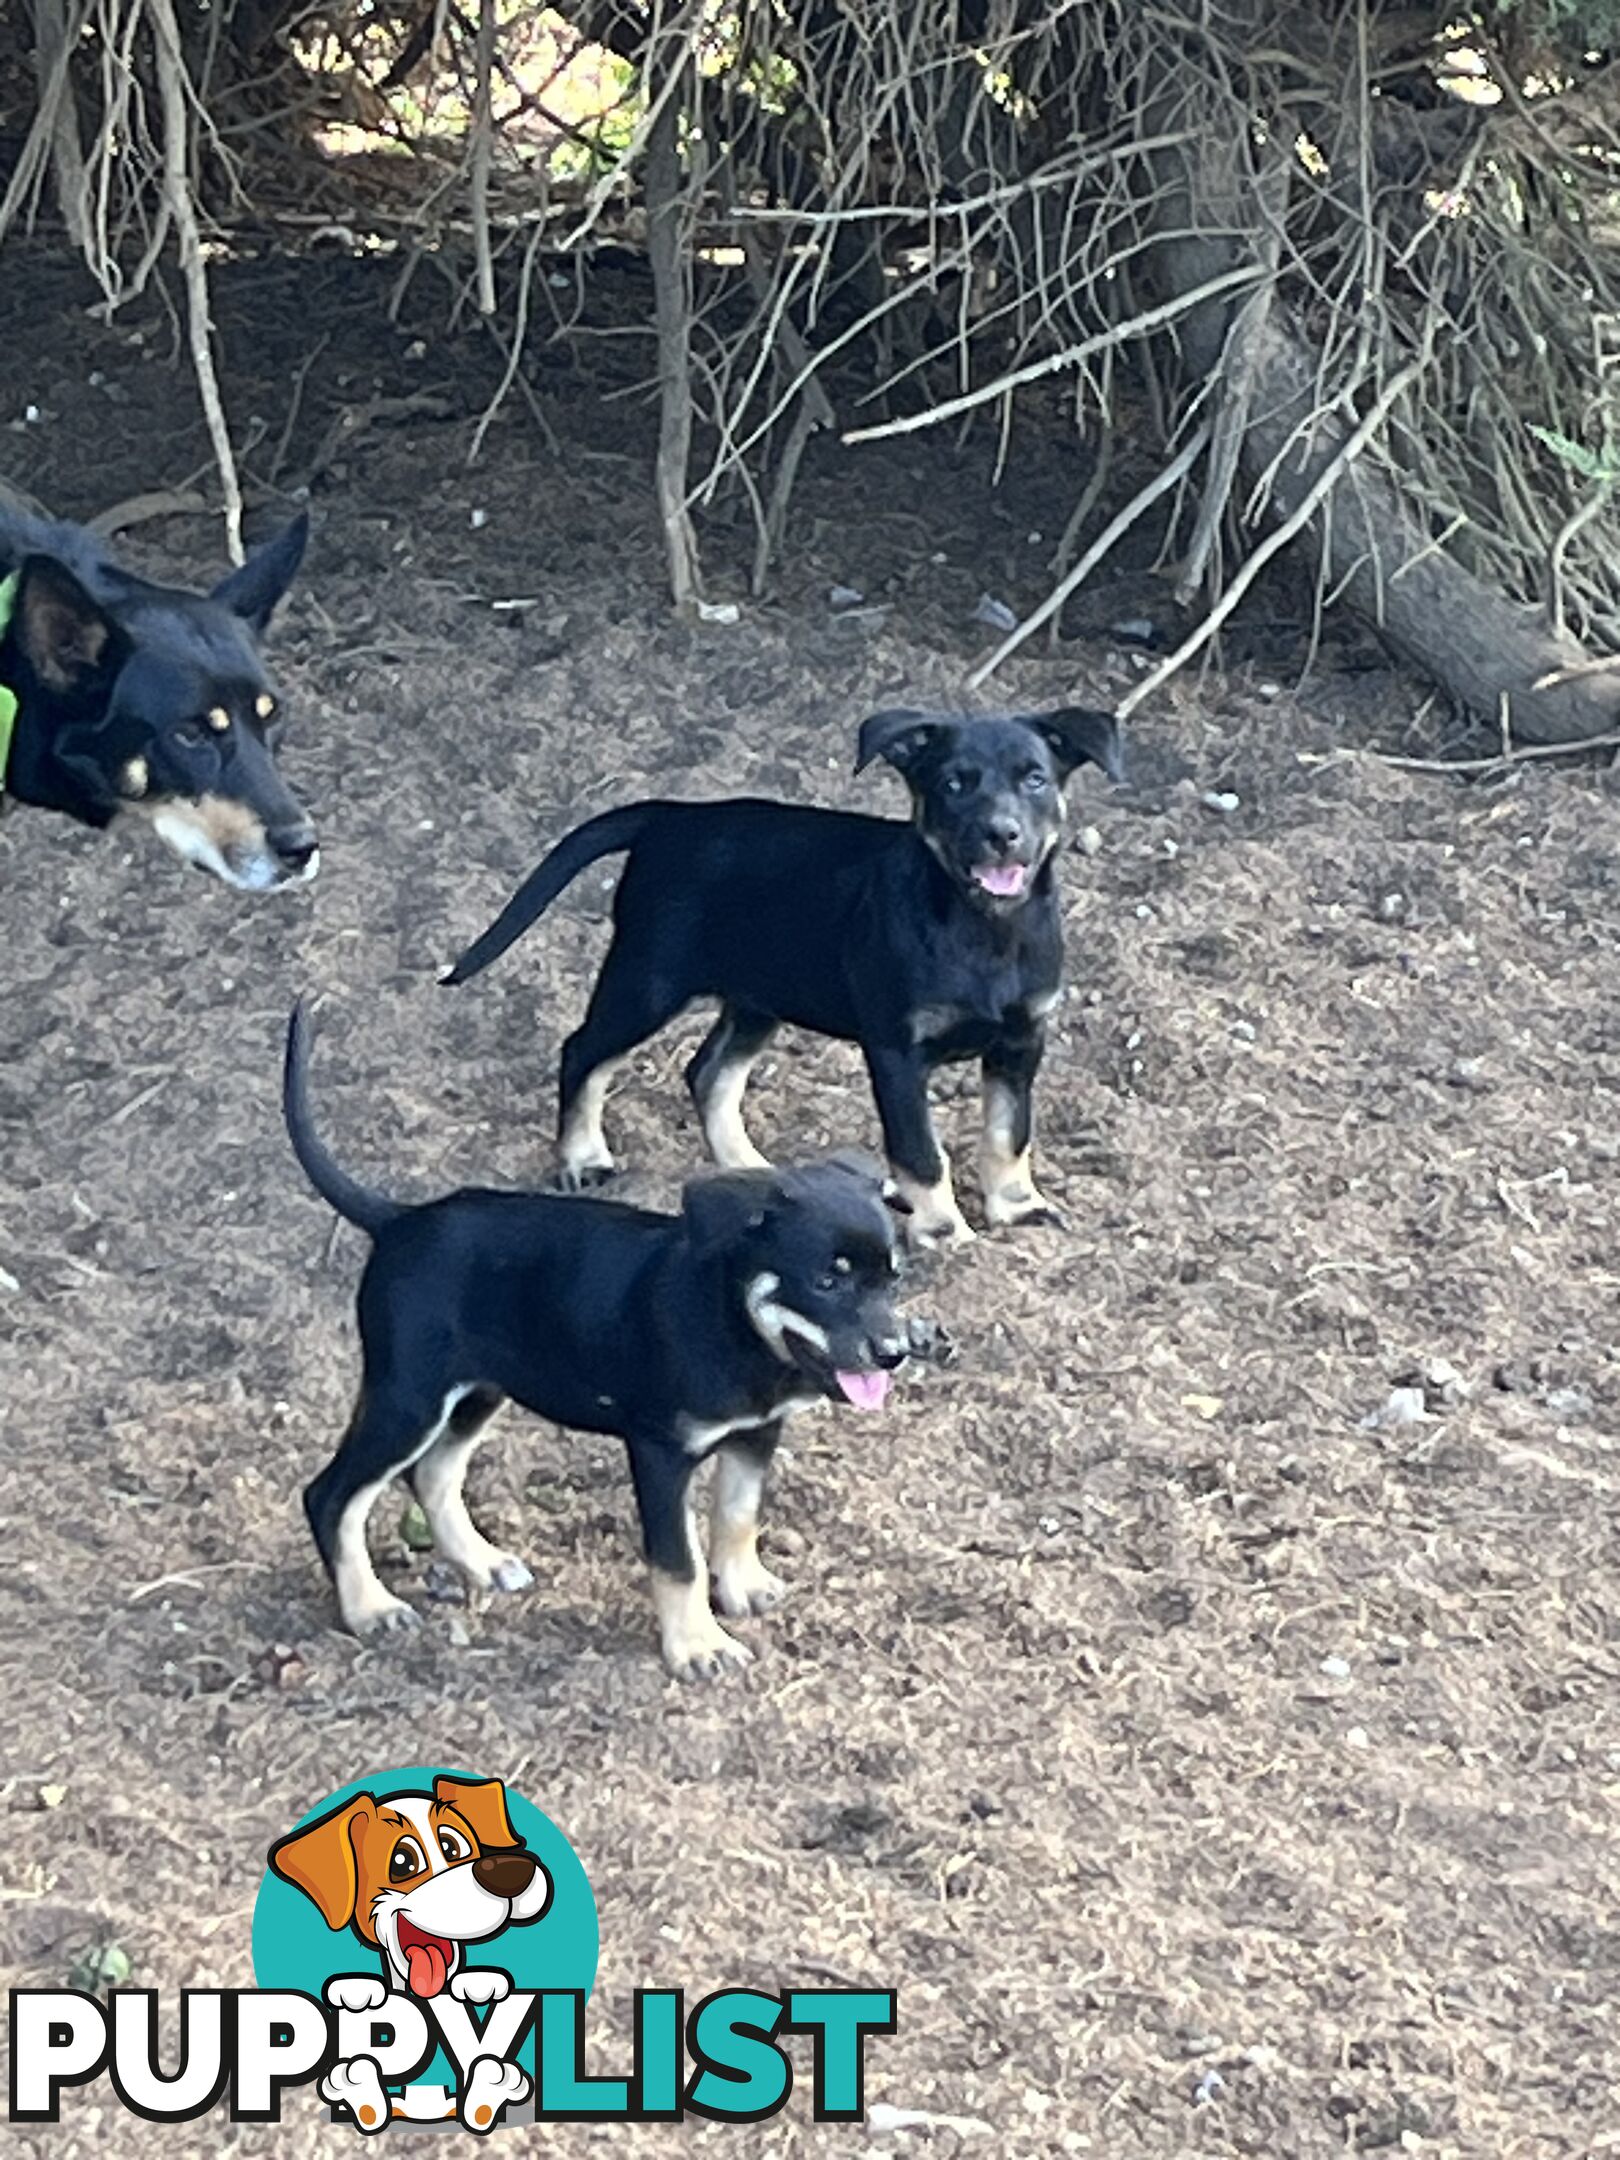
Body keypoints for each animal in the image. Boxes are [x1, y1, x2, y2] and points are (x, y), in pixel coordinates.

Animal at [285, 1002, 946, 1676]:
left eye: (894, 1276)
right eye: (826, 1281)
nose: (893, 1354)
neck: (734, 1326)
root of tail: (398, 1221)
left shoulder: (757, 1434)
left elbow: (738, 1515)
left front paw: (743, 1587)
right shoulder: (659, 1450)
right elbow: (678, 1561)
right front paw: (698, 1647)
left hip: (477, 1390)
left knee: (433, 1474)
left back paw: (481, 1563)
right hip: (409, 1397)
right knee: (332, 1495)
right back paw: (370, 1608)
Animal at [451, 708, 1123, 1252]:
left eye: (1035, 778)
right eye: (953, 783)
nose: (1002, 835)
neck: (987, 928)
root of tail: (671, 817)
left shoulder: (1022, 1039)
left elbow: (1010, 1132)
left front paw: (1018, 1207)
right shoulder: (897, 1051)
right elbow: (921, 1153)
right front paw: (943, 1231)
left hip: (758, 996)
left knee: (707, 1072)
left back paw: (749, 1168)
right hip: (648, 980)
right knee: (583, 1051)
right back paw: (582, 1158)